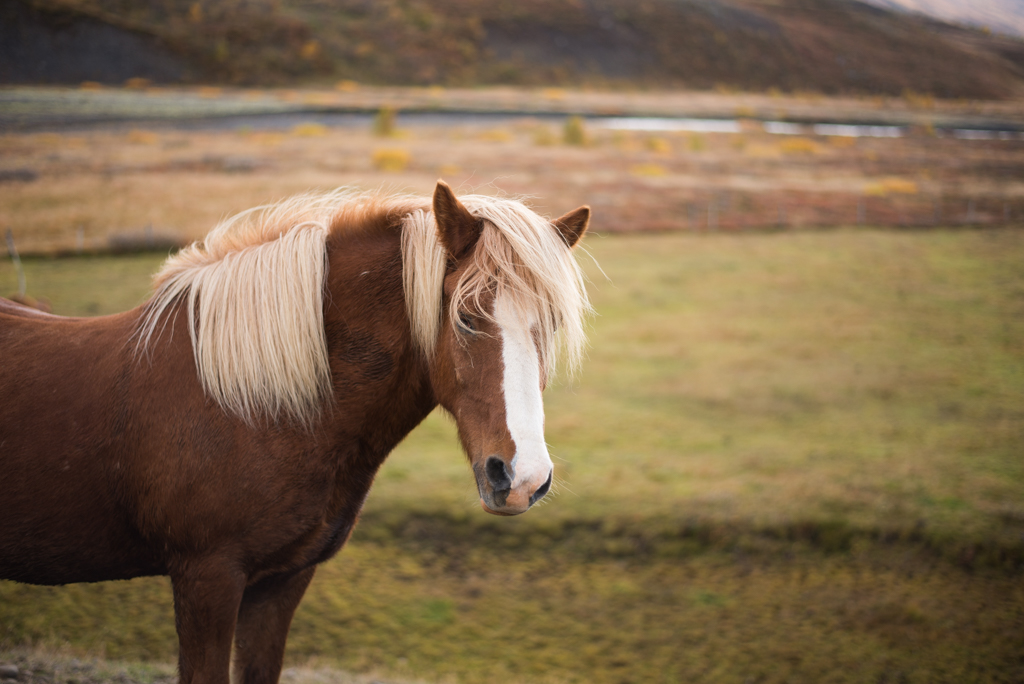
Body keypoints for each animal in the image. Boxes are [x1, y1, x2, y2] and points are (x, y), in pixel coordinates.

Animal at [0, 181, 593, 684]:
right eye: (467, 318)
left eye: (552, 325)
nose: (521, 478)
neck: (253, 407)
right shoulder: (206, 579)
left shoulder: (281, 583)